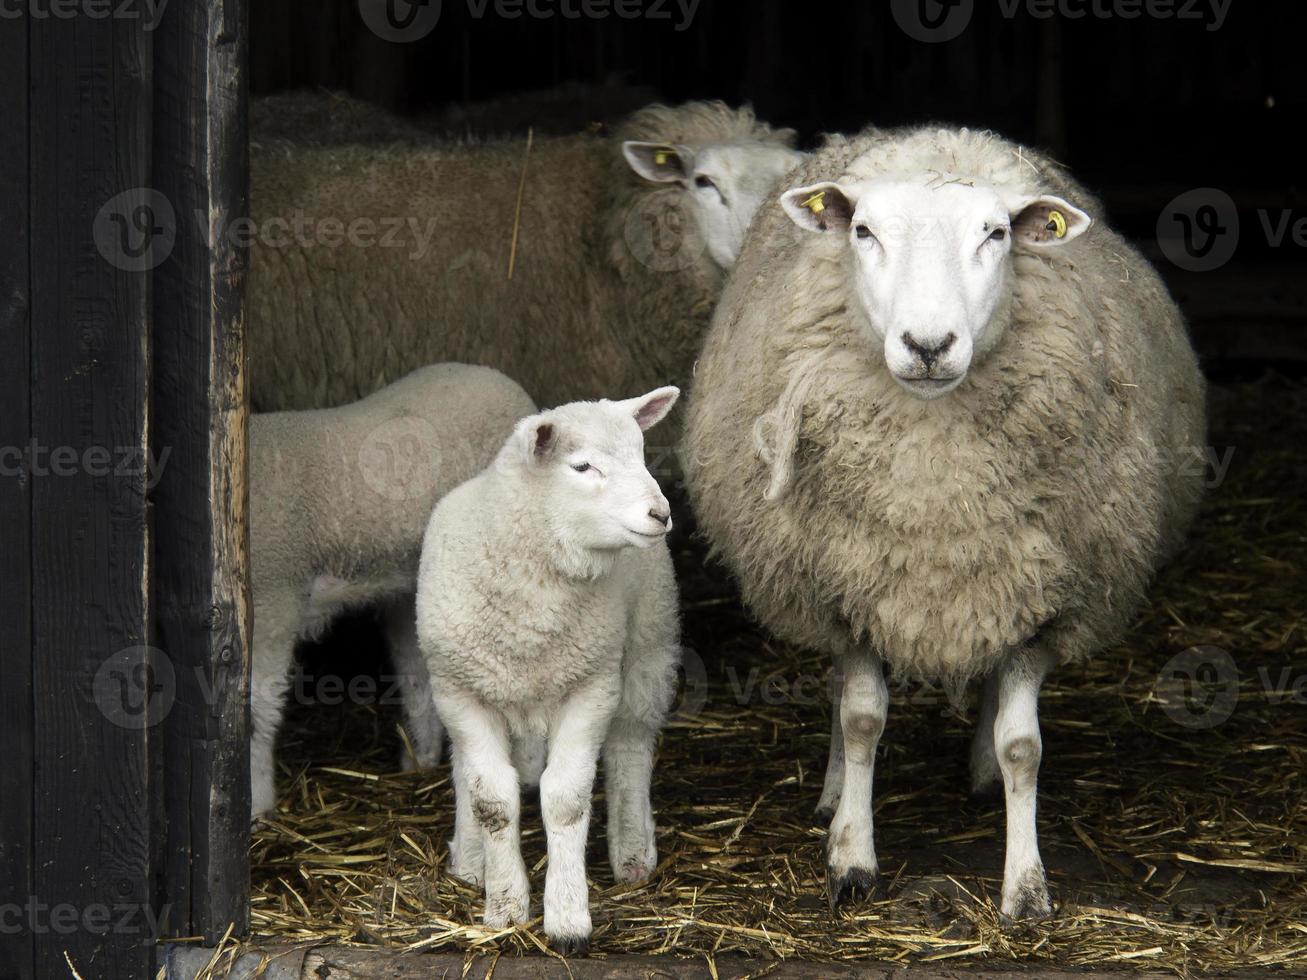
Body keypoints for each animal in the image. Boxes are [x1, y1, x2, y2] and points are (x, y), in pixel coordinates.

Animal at [418, 386, 684, 956]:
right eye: (582, 467)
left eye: (641, 453)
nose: (660, 513)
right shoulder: (460, 691)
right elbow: (492, 799)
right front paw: (504, 909)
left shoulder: (591, 687)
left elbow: (565, 799)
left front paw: (566, 920)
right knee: (468, 769)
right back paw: (469, 860)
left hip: (649, 646)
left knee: (631, 746)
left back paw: (633, 853)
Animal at [684, 126, 1202, 925]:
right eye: (863, 232)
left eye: (995, 234)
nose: (928, 346)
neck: (935, 487)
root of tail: (936, 136)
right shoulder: (848, 582)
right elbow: (861, 717)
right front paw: (851, 856)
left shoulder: (1042, 595)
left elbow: (1024, 745)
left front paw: (1025, 885)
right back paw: (833, 794)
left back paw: (981, 771)